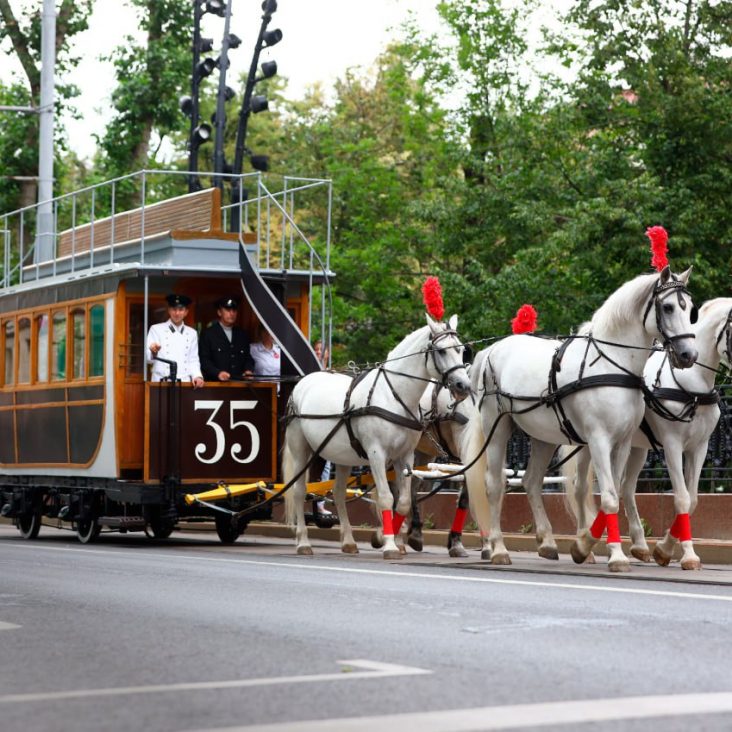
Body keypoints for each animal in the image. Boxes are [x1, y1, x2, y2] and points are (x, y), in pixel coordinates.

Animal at [284, 312, 472, 556]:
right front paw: (390, 543)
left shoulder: (405, 456)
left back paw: (348, 542)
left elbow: (403, 500)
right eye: (441, 351)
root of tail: (305, 381)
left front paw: (391, 537)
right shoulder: (376, 454)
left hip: (340, 456)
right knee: (298, 491)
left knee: (338, 493)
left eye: (461, 349)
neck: (393, 395)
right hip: (301, 450)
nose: (463, 386)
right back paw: (303, 541)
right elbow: (386, 497)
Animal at [464, 268, 696, 572]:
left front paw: (586, 545)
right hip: (497, 427)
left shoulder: (622, 443)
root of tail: (491, 351)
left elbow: (613, 492)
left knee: (531, 481)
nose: (688, 355)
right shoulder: (598, 439)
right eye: (668, 307)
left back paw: (547, 543)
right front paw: (616, 555)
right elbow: (608, 497)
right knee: (494, 485)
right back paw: (499, 549)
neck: (611, 363)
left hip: (543, 437)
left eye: (690, 309)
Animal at [572, 298, 732, 572]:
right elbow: (681, 498)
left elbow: (693, 500)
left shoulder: (699, 448)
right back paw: (586, 545)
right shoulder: (672, 445)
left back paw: (638, 545)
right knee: (582, 488)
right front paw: (686, 555)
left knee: (625, 488)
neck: (692, 384)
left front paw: (664, 549)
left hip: (637, 449)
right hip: (587, 445)